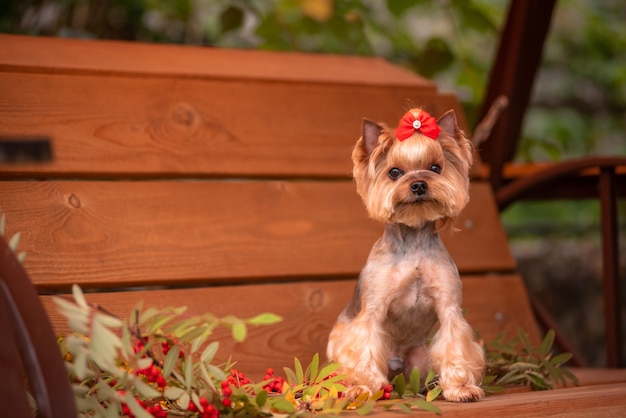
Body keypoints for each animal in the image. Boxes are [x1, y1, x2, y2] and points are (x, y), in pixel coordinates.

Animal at [326, 108, 482, 402]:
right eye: (394, 172)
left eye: (435, 168)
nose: (418, 185)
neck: (414, 242)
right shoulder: (374, 308)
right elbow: (365, 346)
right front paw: (364, 387)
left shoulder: (448, 306)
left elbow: (454, 344)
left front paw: (460, 388)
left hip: (420, 360)